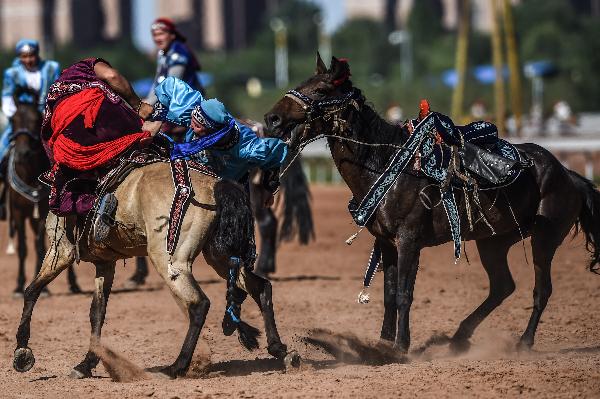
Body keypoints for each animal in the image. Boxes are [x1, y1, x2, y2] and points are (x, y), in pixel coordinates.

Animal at [6, 96, 80, 296]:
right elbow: (23, 248)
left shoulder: (43, 214)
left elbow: (40, 247)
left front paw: (44, 288)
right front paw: (18, 285)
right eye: (13, 120)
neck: (30, 176)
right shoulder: (18, 212)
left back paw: (73, 283)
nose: (23, 153)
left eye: (35, 119)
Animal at [11, 158, 298, 380]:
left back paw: (176, 367)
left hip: (170, 260)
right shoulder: (106, 263)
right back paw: (281, 350)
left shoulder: (60, 251)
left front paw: (22, 353)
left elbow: (32, 291)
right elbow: (97, 312)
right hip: (220, 256)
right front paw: (86, 364)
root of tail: (216, 186)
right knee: (261, 287)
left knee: (199, 304)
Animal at [266, 53, 600, 356]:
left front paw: (400, 346)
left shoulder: (409, 241)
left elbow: (404, 294)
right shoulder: (387, 243)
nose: (272, 118)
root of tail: (568, 175)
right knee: (502, 287)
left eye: (322, 90)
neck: (389, 164)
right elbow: (389, 295)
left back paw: (523, 342)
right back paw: (459, 338)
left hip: (545, 237)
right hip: (494, 241)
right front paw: (383, 345)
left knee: (541, 290)